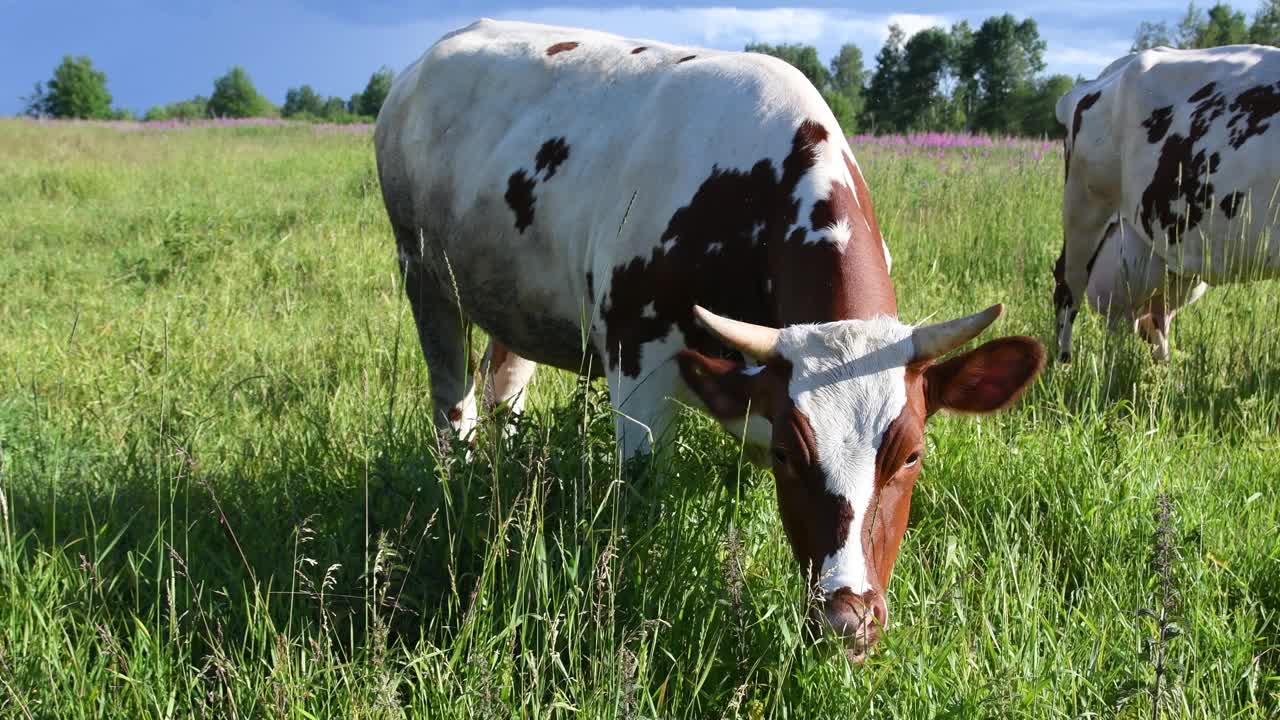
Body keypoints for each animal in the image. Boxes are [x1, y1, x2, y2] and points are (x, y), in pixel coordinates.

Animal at [373, 16, 1044, 655]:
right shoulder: (636, 358)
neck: (752, 194)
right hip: (424, 275)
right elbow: (640, 495)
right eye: (790, 453)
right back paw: (458, 481)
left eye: (911, 455)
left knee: (505, 386)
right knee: (452, 400)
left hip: (511, 299)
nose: (847, 619)